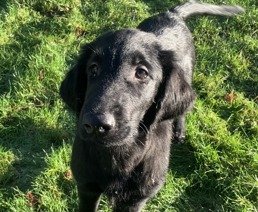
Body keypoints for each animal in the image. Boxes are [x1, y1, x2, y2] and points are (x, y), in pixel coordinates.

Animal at [60, 0, 244, 211]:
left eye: (141, 72)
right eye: (93, 68)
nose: (95, 124)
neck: (118, 154)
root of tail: (171, 14)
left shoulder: (136, 199)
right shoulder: (86, 187)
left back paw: (179, 130)